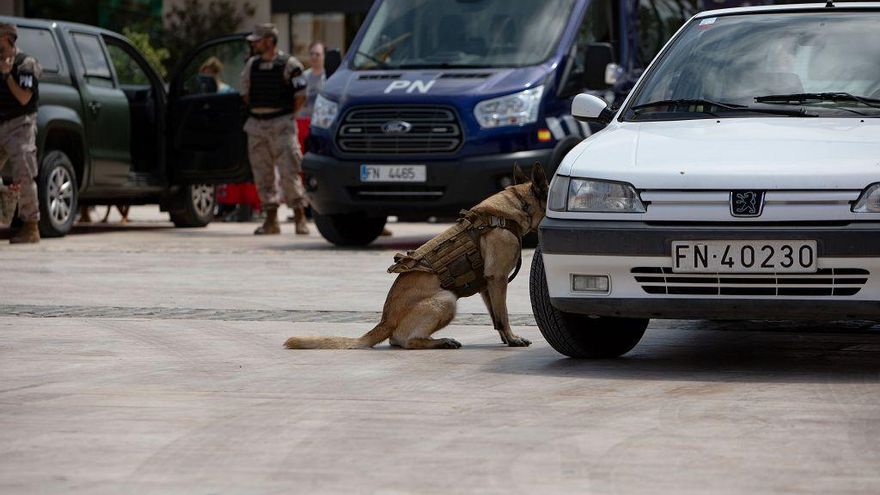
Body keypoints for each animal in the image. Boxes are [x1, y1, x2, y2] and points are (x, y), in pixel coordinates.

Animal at [288, 165, 552, 350]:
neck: (517, 206)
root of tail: (386, 320)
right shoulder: (498, 279)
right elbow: (504, 315)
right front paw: (513, 338)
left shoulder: (488, 286)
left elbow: (496, 316)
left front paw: (506, 338)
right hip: (446, 299)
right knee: (407, 341)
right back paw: (442, 341)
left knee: (397, 341)